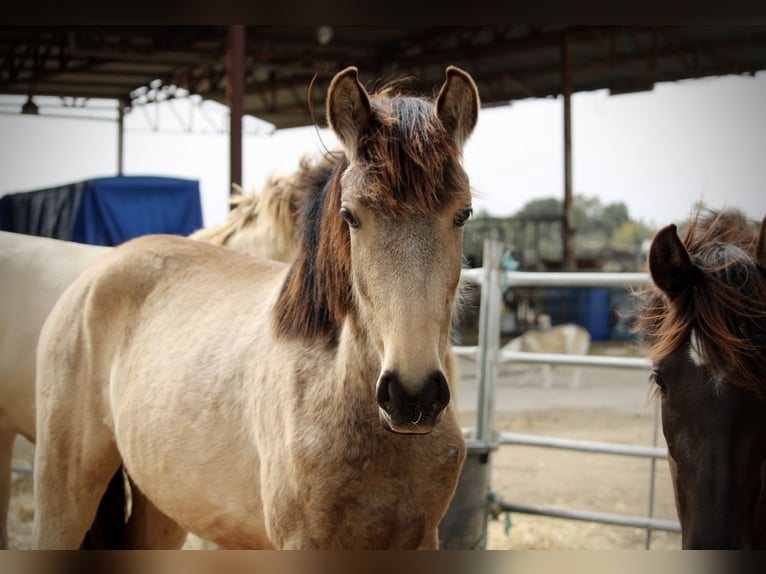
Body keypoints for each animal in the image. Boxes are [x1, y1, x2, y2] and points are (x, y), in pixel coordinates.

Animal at [32, 65, 479, 549]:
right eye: (350, 216)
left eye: (463, 214)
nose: (412, 395)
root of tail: (95, 272)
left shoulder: (423, 538)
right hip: (64, 494)